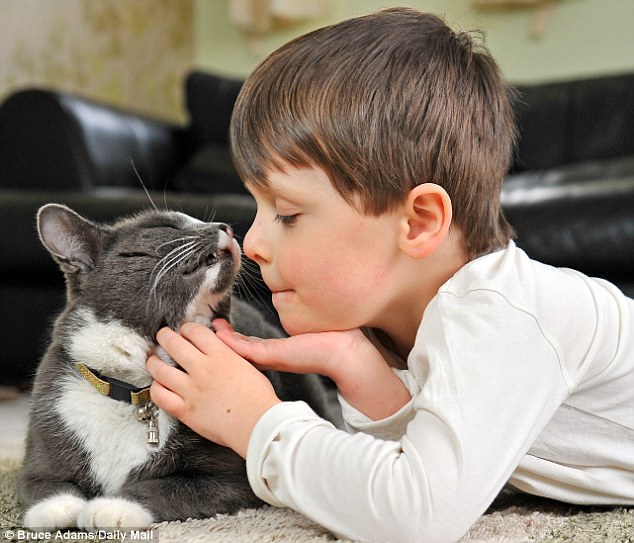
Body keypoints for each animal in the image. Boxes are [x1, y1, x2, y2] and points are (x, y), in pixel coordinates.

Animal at [17, 204, 334, 532]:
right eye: (164, 225)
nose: (226, 227)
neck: (133, 389)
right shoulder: (41, 446)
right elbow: (45, 485)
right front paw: (59, 508)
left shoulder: (235, 480)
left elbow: (170, 487)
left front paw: (111, 507)